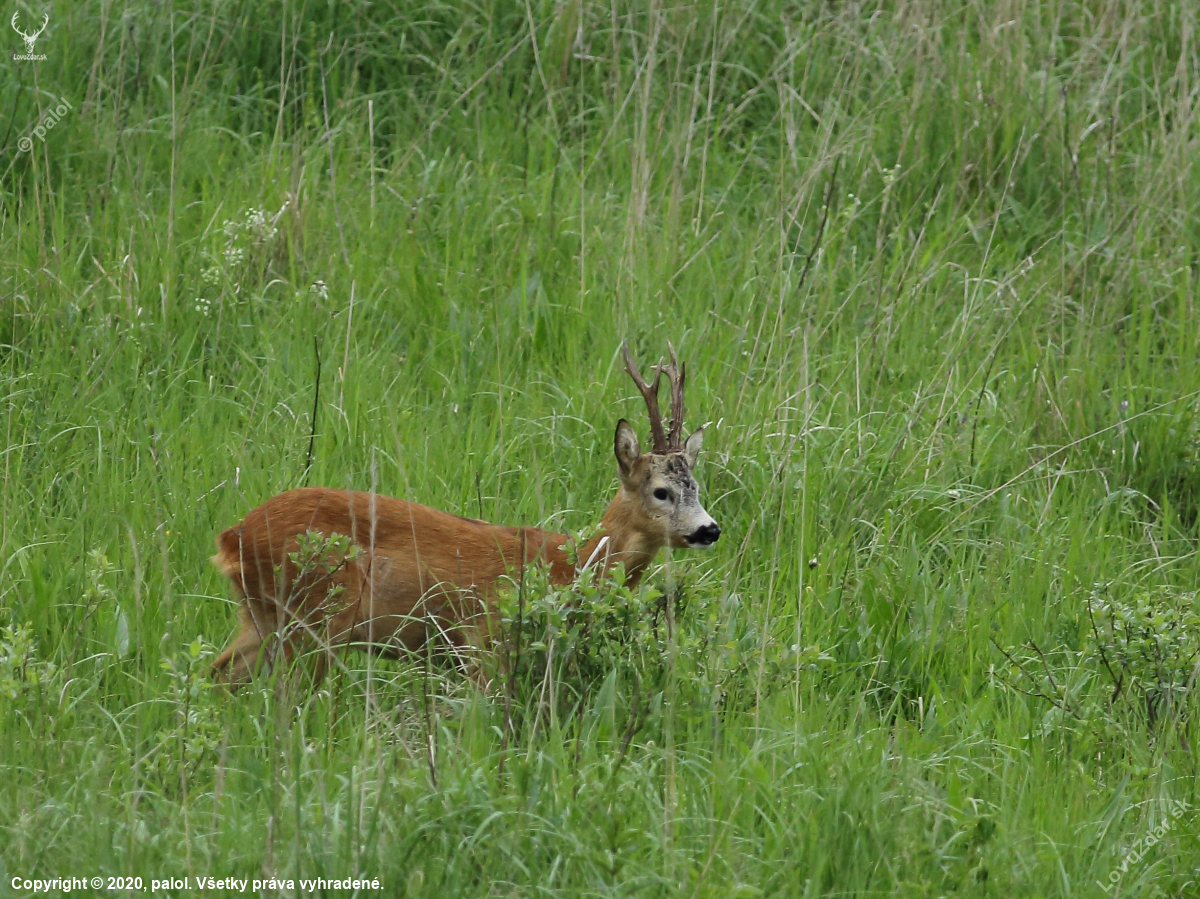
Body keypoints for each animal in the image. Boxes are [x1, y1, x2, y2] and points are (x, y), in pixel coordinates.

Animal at [210, 342, 720, 687]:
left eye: (696, 487)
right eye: (660, 492)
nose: (709, 529)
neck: (571, 563)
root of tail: (232, 537)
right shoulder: (485, 644)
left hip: (263, 618)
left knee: (218, 673)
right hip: (314, 617)